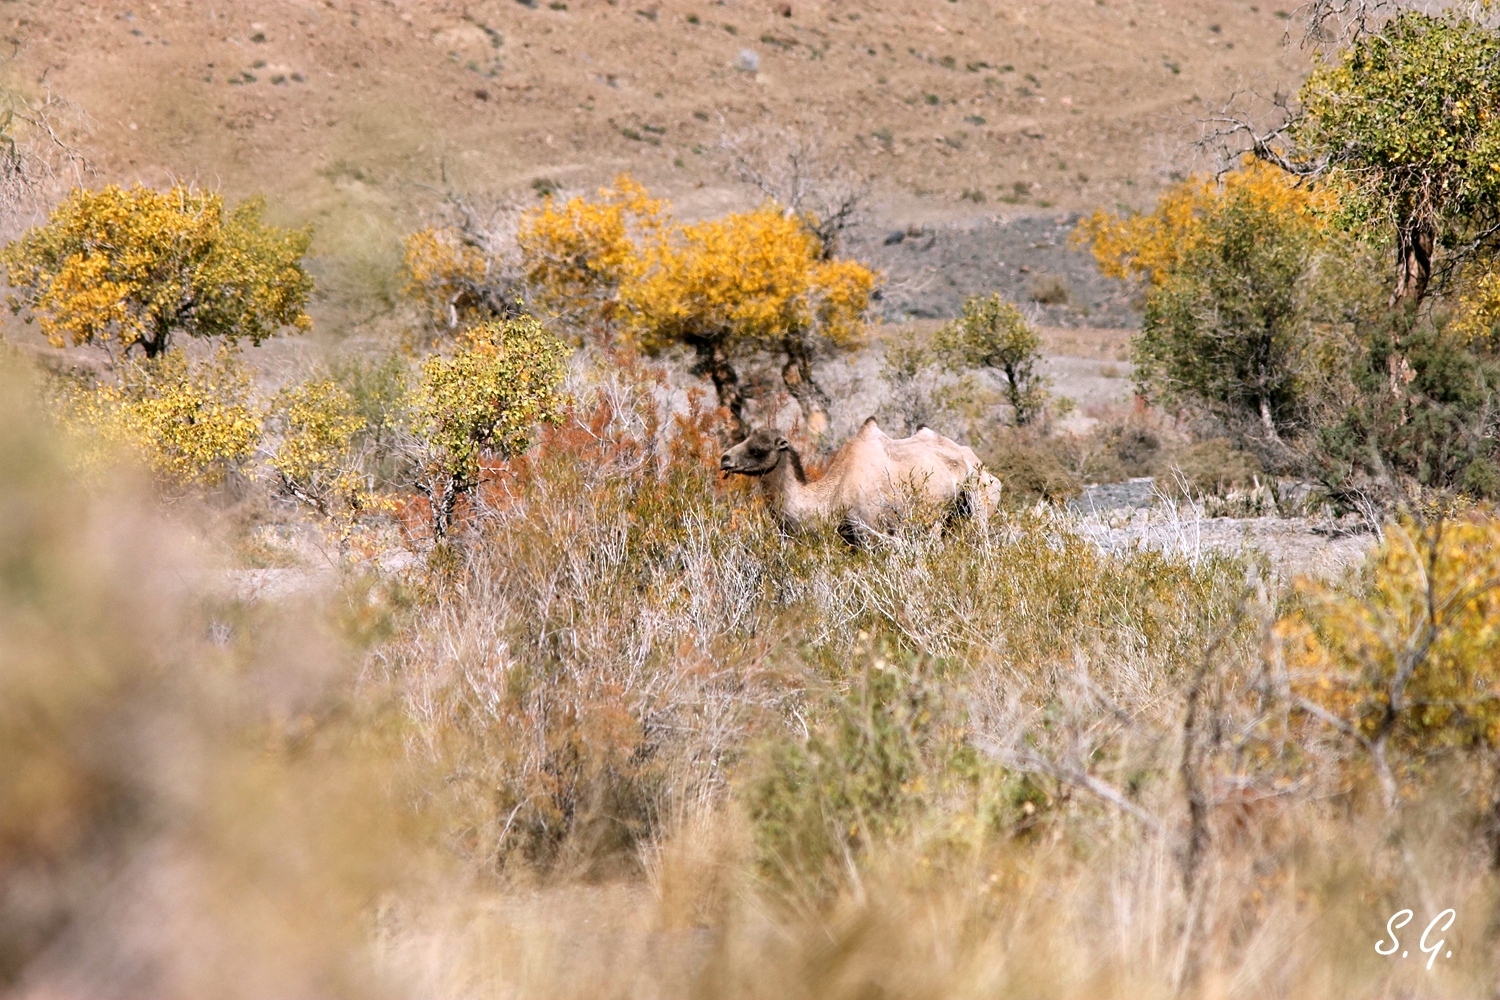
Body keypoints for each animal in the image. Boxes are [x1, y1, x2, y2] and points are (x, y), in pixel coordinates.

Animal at [719, 418, 1002, 541]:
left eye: (757, 449)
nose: (724, 459)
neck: (831, 496)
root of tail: (978, 463)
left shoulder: (869, 530)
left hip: (980, 500)